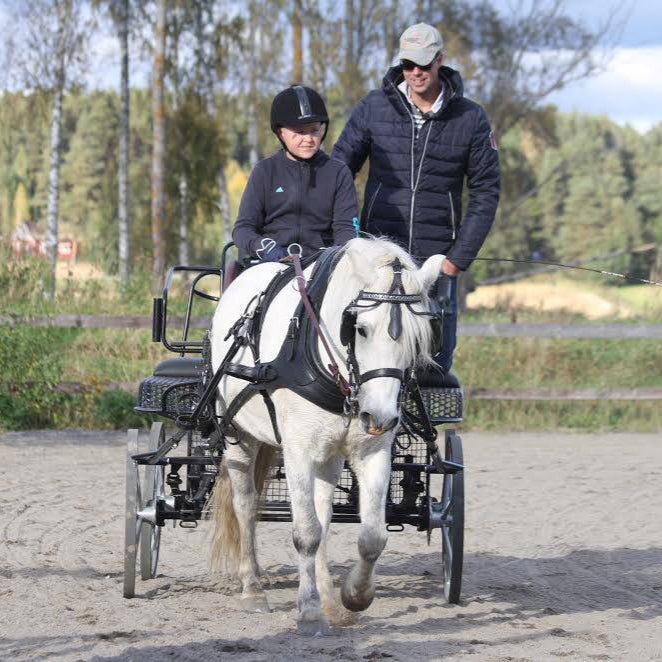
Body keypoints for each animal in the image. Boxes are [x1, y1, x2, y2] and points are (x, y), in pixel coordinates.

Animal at [209, 236, 444, 634]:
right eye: (359, 328)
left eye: (418, 336)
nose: (380, 417)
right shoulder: (297, 451)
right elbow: (305, 532)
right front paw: (308, 609)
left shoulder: (372, 451)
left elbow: (371, 536)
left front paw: (354, 596)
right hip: (238, 434)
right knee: (246, 506)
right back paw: (253, 587)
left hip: (329, 455)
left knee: (323, 515)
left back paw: (328, 597)